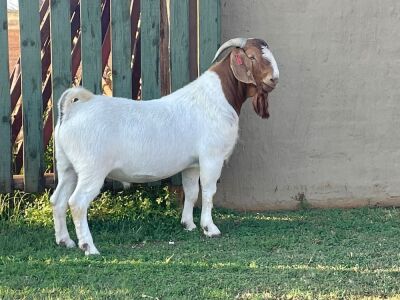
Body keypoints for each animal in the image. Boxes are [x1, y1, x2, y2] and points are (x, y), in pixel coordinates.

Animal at [50, 36, 280, 254]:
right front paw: (210, 228)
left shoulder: (192, 164)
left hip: (67, 166)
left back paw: (65, 241)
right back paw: (89, 247)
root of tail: (72, 111)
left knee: (58, 199)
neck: (218, 97)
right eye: (252, 57)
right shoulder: (211, 157)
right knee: (77, 203)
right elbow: (208, 191)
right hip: (92, 169)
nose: (274, 78)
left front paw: (188, 224)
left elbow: (191, 192)